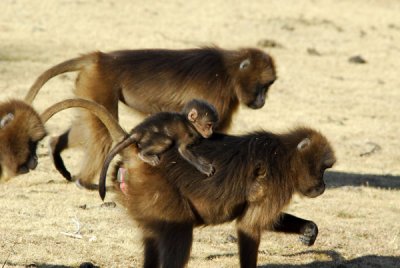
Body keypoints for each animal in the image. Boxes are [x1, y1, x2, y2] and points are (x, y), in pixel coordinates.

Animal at [24, 47, 276, 187]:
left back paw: (57, 148)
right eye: (263, 86)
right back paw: (84, 182)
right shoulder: (216, 96)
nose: (262, 101)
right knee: (103, 134)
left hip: (89, 84)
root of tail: (100, 58)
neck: (228, 69)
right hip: (99, 82)